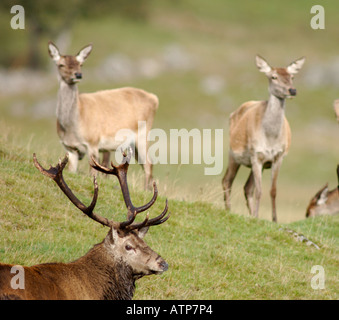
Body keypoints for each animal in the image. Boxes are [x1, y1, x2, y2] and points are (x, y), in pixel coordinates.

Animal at [47, 41, 159, 189]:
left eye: (81, 64)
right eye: (61, 64)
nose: (78, 75)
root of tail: (154, 99)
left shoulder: (93, 142)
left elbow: (93, 173)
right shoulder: (70, 148)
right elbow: (72, 170)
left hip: (142, 135)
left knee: (148, 163)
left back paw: (145, 190)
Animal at [222, 55, 306, 222]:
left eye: (292, 76)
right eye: (273, 76)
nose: (292, 90)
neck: (270, 137)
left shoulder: (278, 157)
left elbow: (272, 190)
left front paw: (274, 219)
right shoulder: (256, 155)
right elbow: (259, 191)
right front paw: (257, 215)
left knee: (247, 187)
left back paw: (252, 215)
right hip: (233, 154)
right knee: (227, 180)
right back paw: (229, 210)